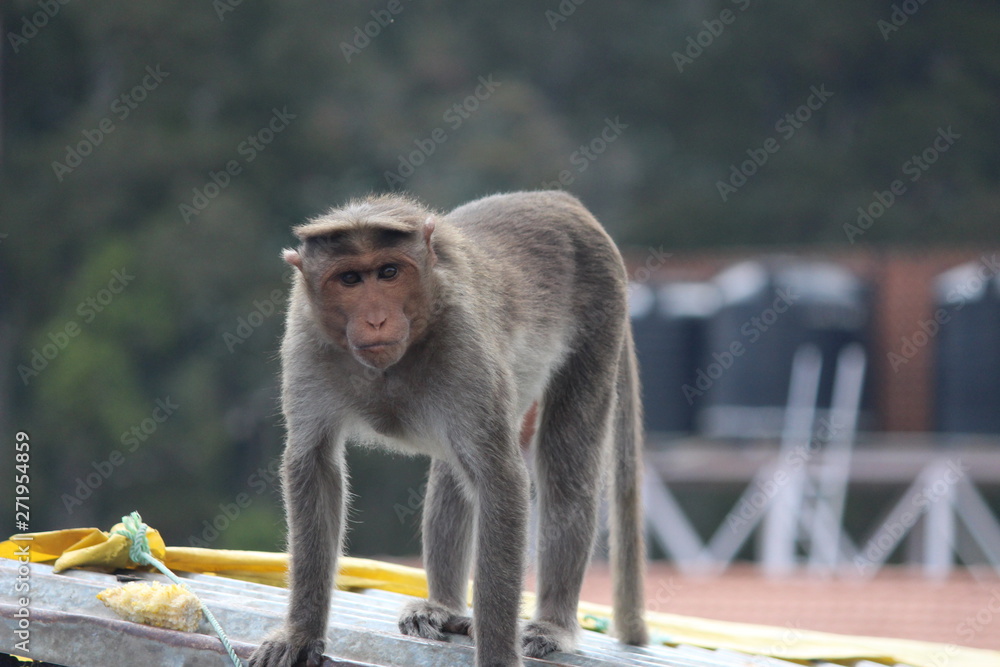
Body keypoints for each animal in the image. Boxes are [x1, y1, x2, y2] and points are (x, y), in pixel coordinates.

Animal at [249, 191, 647, 667]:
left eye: (388, 272)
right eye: (349, 279)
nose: (376, 320)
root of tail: (560, 200)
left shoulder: (463, 343)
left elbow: (500, 480)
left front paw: (497, 654)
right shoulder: (307, 339)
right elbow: (315, 464)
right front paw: (301, 633)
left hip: (599, 317)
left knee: (564, 468)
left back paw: (552, 623)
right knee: (453, 469)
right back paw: (444, 607)